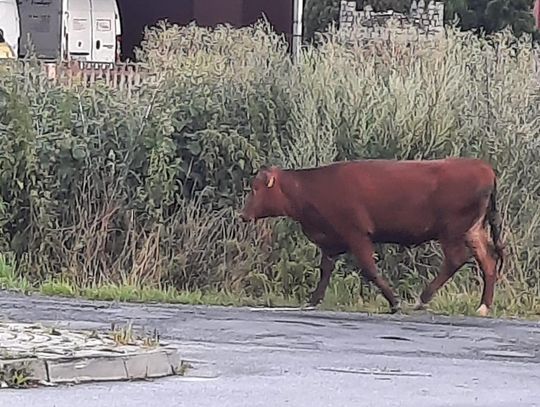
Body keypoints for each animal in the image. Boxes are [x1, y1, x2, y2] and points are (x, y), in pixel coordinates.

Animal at [238, 158, 504, 318]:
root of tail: (483, 167)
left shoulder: (356, 234)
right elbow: (325, 271)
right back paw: (483, 306)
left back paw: (424, 299)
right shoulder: (330, 241)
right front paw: (313, 300)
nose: (243, 215)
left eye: (255, 189)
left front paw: (394, 302)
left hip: (452, 231)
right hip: (473, 231)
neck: (313, 188)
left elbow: (369, 269)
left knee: (456, 259)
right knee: (488, 262)